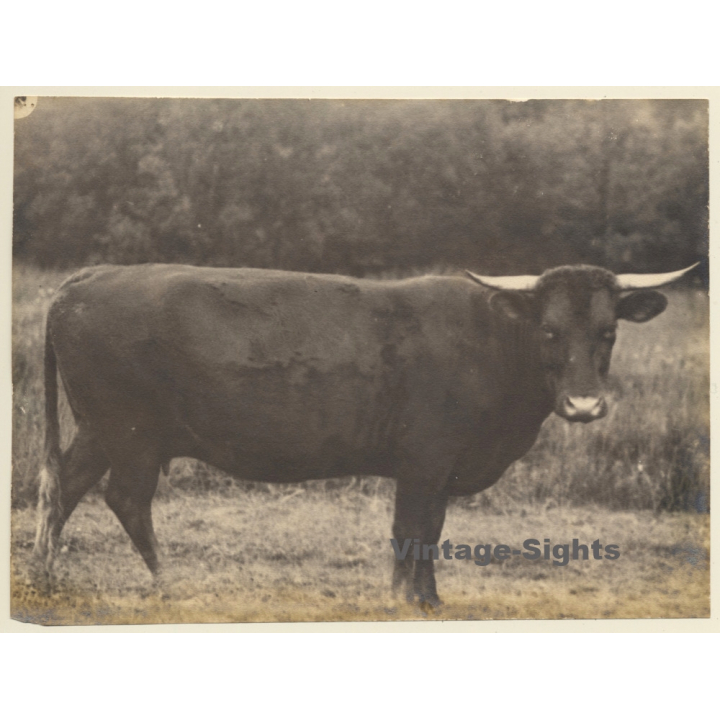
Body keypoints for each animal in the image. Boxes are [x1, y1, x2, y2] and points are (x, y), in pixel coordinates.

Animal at [33, 262, 698, 608]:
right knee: (123, 498)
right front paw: (405, 599)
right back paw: (167, 580)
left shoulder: (441, 469)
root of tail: (88, 280)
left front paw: (429, 601)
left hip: (101, 430)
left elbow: (432, 532)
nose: (584, 405)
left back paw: (43, 574)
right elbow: (412, 530)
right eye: (550, 331)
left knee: (62, 487)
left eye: (609, 332)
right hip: (128, 430)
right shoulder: (424, 460)